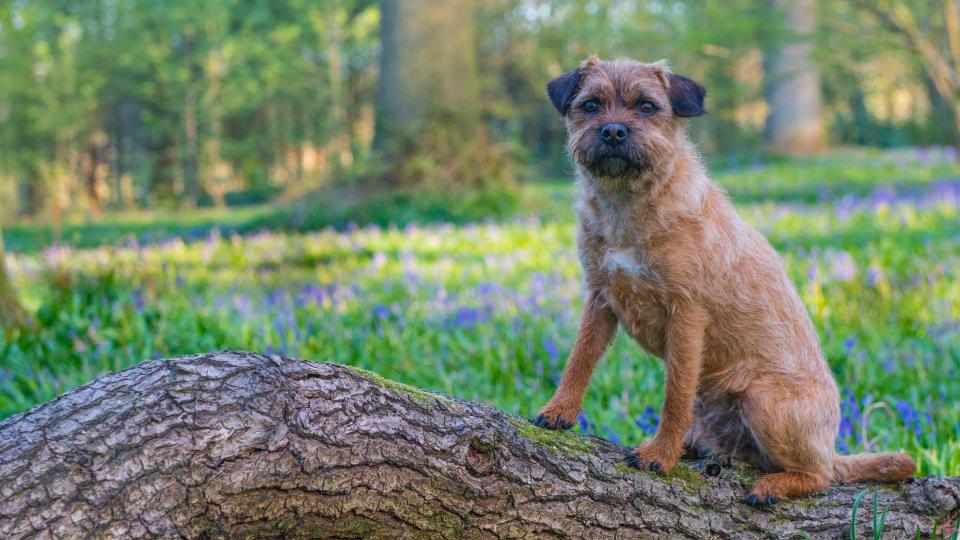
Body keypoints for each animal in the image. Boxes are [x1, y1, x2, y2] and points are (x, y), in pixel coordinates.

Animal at [532, 57, 916, 504]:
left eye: (646, 106)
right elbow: (580, 358)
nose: (612, 131)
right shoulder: (600, 298)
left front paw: (660, 455)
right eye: (591, 105)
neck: (628, 204)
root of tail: (831, 448)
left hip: (762, 399)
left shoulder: (686, 315)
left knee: (820, 475)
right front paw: (559, 411)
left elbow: (675, 395)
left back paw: (774, 484)